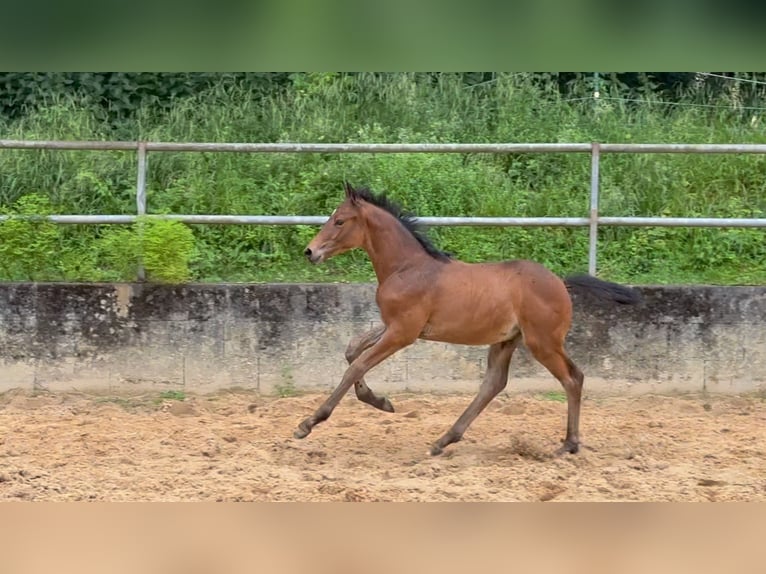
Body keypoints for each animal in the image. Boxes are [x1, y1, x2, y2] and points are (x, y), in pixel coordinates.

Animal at [296, 184, 640, 460]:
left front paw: (308, 423)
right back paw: (444, 440)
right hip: (507, 340)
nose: (310, 252)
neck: (407, 267)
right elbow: (353, 350)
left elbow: (357, 364)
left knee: (572, 378)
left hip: (542, 342)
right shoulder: (395, 325)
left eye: (340, 221)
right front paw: (380, 401)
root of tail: (561, 283)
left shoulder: (403, 332)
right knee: (494, 384)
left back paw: (569, 444)